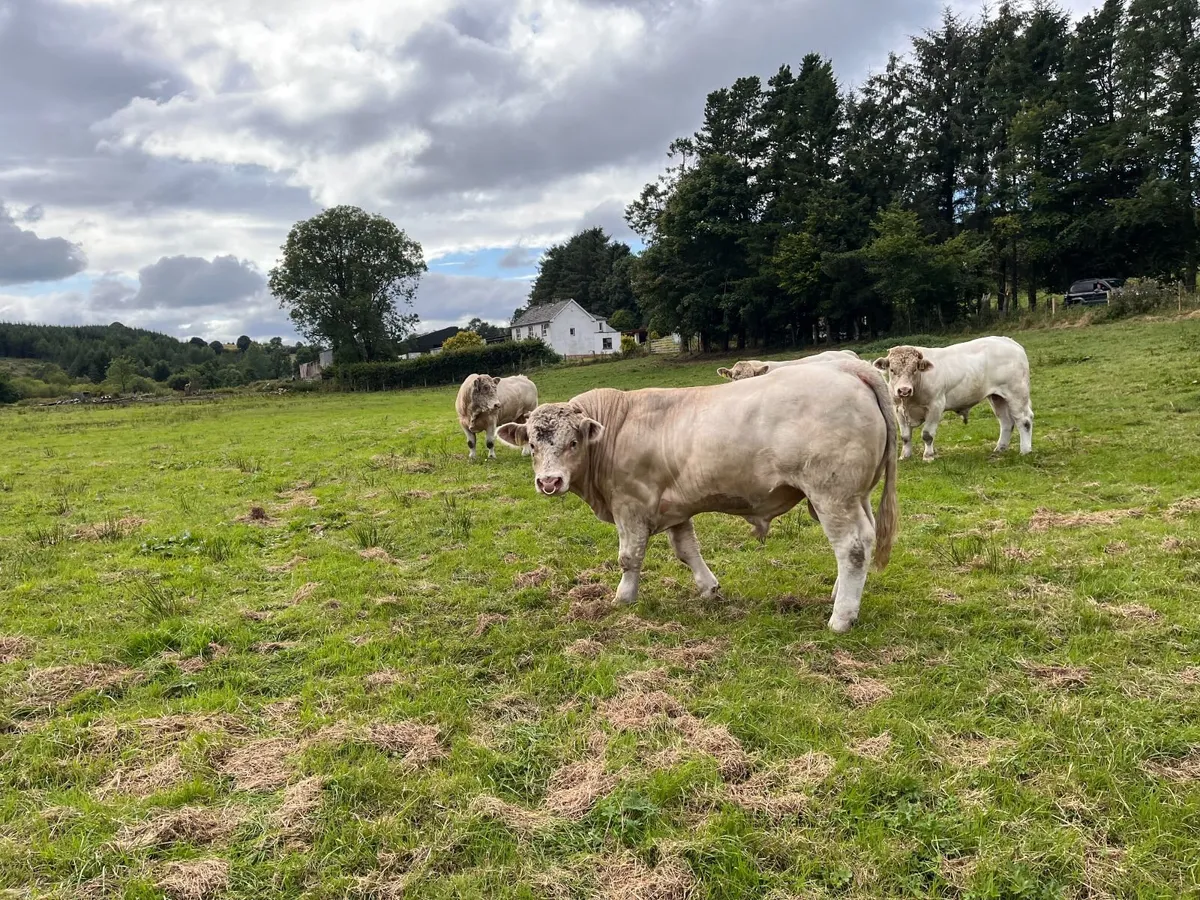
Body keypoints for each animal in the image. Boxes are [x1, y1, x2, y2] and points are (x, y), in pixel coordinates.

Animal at [497, 359, 898, 633]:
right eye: (532, 444)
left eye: (573, 442)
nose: (549, 482)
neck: (618, 427)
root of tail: (847, 367)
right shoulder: (674, 507)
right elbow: (686, 550)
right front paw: (709, 588)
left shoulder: (630, 504)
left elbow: (629, 557)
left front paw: (624, 598)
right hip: (855, 495)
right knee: (864, 540)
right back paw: (840, 595)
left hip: (832, 494)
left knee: (852, 547)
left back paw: (841, 618)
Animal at [871, 335, 1033, 462]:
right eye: (892, 370)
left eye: (915, 369)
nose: (904, 390)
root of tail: (1009, 342)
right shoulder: (898, 410)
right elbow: (905, 436)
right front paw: (904, 456)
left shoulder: (936, 406)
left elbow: (927, 435)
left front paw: (928, 456)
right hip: (997, 397)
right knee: (1006, 422)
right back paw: (1000, 448)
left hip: (1017, 393)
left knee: (1024, 420)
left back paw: (1025, 451)